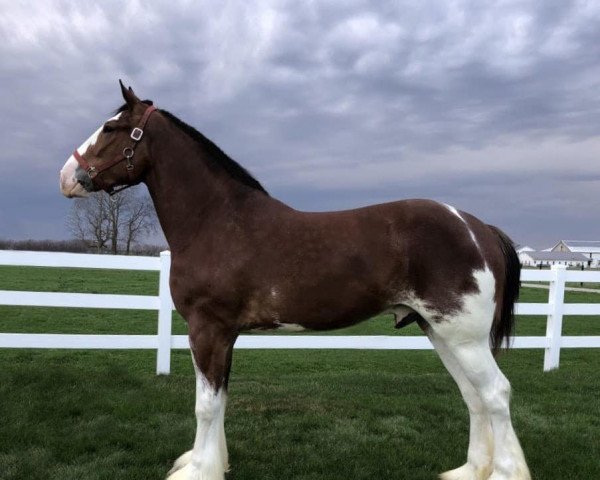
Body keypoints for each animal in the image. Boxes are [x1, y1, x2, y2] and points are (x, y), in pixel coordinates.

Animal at [59, 82, 528, 480]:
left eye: (111, 128)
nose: (67, 176)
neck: (217, 222)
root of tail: (478, 228)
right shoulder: (224, 335)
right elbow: (221, 399)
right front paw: (212, 462)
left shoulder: (207, 330)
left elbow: (205, 406)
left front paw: (199, 470)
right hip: (440, 332)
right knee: (473, 396)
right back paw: (469, 470)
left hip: (463, 337)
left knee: (496, 393)